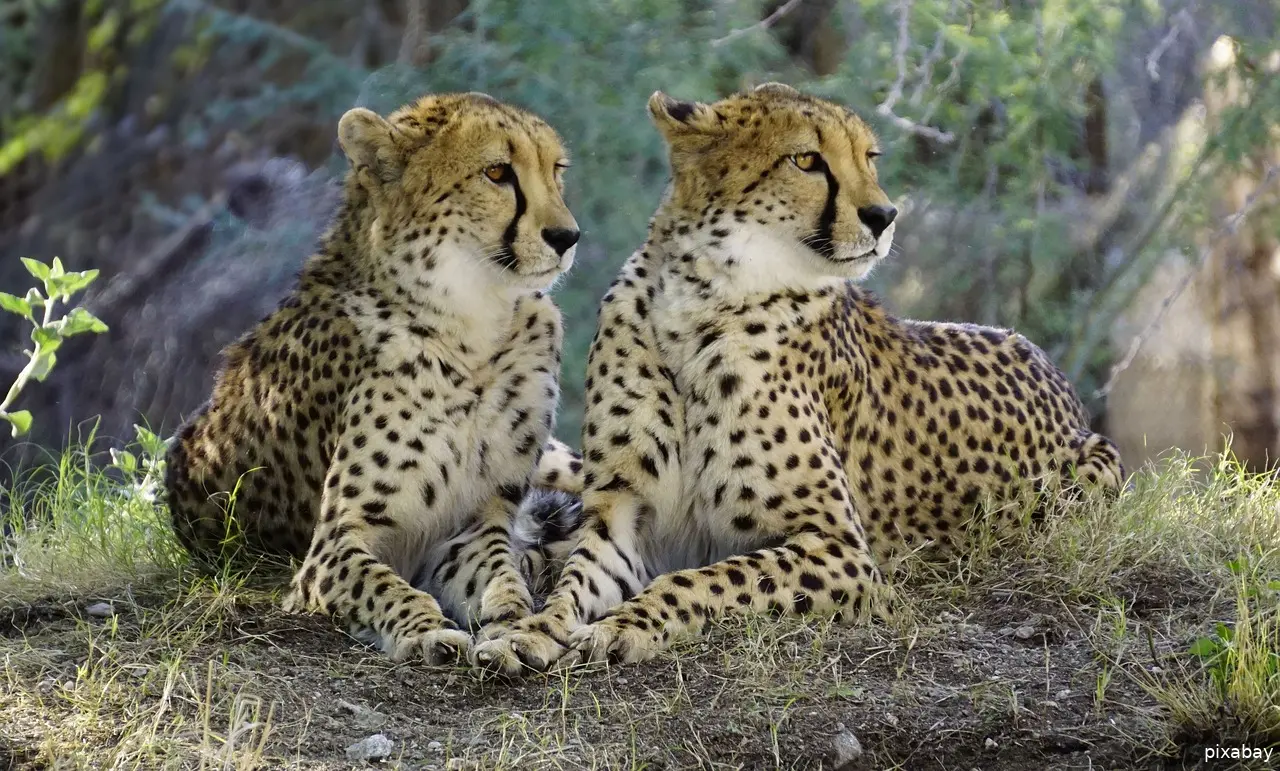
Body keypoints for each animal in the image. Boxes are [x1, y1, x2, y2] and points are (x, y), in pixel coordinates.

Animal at [165, 92, 589, 664]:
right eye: (497, 172)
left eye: (556, 170)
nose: (566, 236)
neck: (472, 326)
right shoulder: (333, 547)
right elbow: (386, 586)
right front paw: (427, 631)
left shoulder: (472, 528)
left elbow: (502, 580)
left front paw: (514, 625)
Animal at [469, 82, 1125, 674]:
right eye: (807, 160)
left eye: (869, 157)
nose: (884, 215)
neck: (701, 299)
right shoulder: (622, 512)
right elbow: (575, 582)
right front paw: (530, 631)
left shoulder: (842, 549)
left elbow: (702, 578)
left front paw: (625, 626)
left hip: (1089, 472)